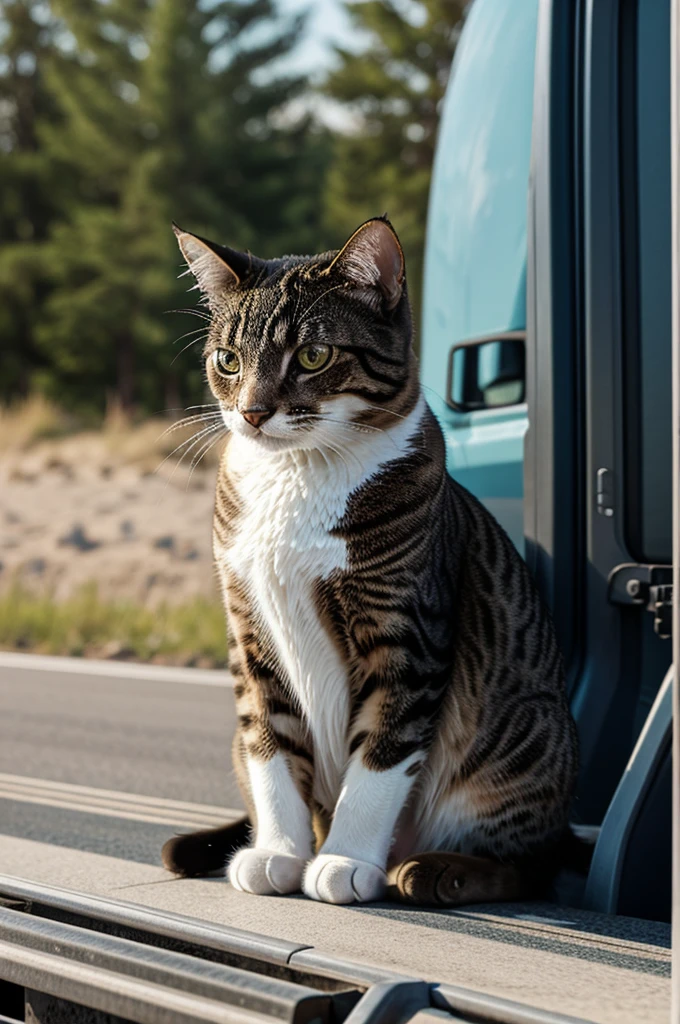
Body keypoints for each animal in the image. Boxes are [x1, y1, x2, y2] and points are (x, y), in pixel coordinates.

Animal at [160, 216, 577, 905]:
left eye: (312, 356)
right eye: (228, 359)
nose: (252, 412)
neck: (297, 475)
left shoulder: (406, 633)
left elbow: (382, 752)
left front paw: (345, 860)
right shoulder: (249, 630)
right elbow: (271, 744)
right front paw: (279, 851)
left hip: (526, 734)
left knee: (532, 863)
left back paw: (435, 871)